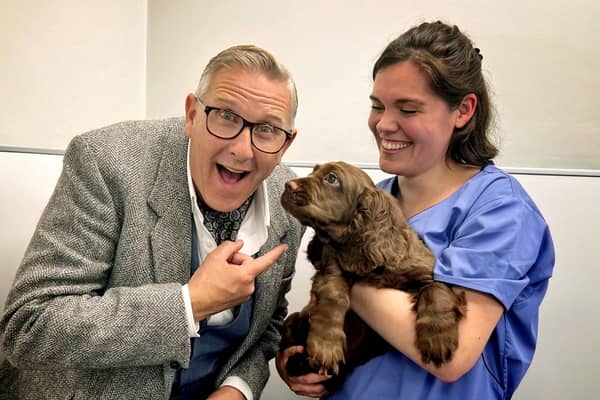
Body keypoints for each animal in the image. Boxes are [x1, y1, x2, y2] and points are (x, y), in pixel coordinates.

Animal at [278, 161, 466, 390]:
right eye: (314, 171)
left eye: (332, 178)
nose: (288, 185)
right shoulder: (331, 268)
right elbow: (334, 296)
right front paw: (325, 345)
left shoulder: (424, 272)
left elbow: (436, 289)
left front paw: (437, 339)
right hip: (294, 320)